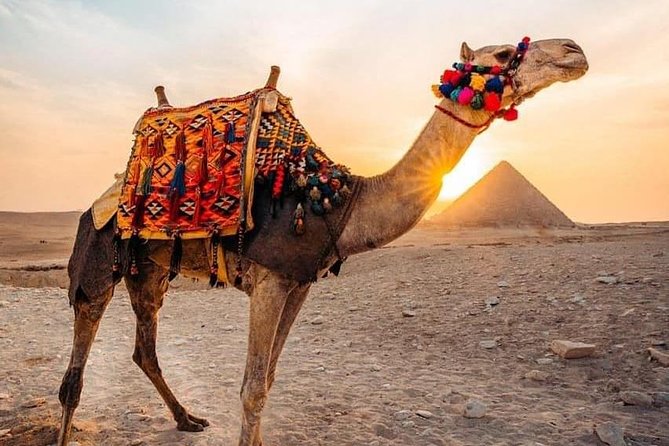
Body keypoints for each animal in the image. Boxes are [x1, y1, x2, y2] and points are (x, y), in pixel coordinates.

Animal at [57, 37, 588, 445]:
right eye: (503, 53)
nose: (574, 50)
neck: (339, 201)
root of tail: (103, 197)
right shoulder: (270, 280)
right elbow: (252, 387)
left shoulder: (299, 282)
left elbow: (269, 379)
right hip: (98, 253)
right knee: (77, 365)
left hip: (148, 271)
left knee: (144, 348)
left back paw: (188, 419)